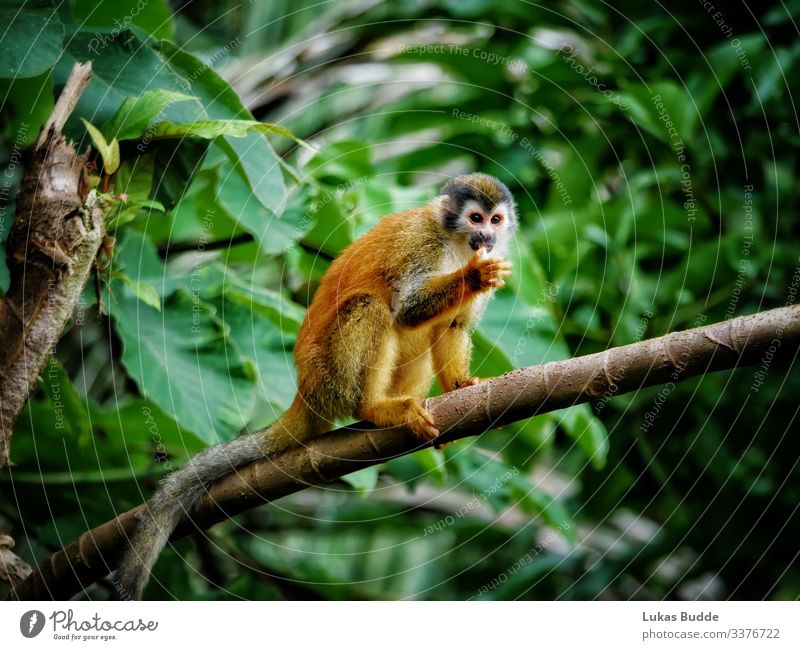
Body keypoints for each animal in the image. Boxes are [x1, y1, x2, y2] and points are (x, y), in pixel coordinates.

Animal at [119, 172, 520, 596]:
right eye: (475, 218)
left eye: (495, 221)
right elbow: (408, 309)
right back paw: (375, 408)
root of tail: (305, 391)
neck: (455, 243)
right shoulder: (421, 244)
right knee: (373, 306)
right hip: (332, 375)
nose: (486, 237)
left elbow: (454, 324)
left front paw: (460, 386)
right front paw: (472, 277)